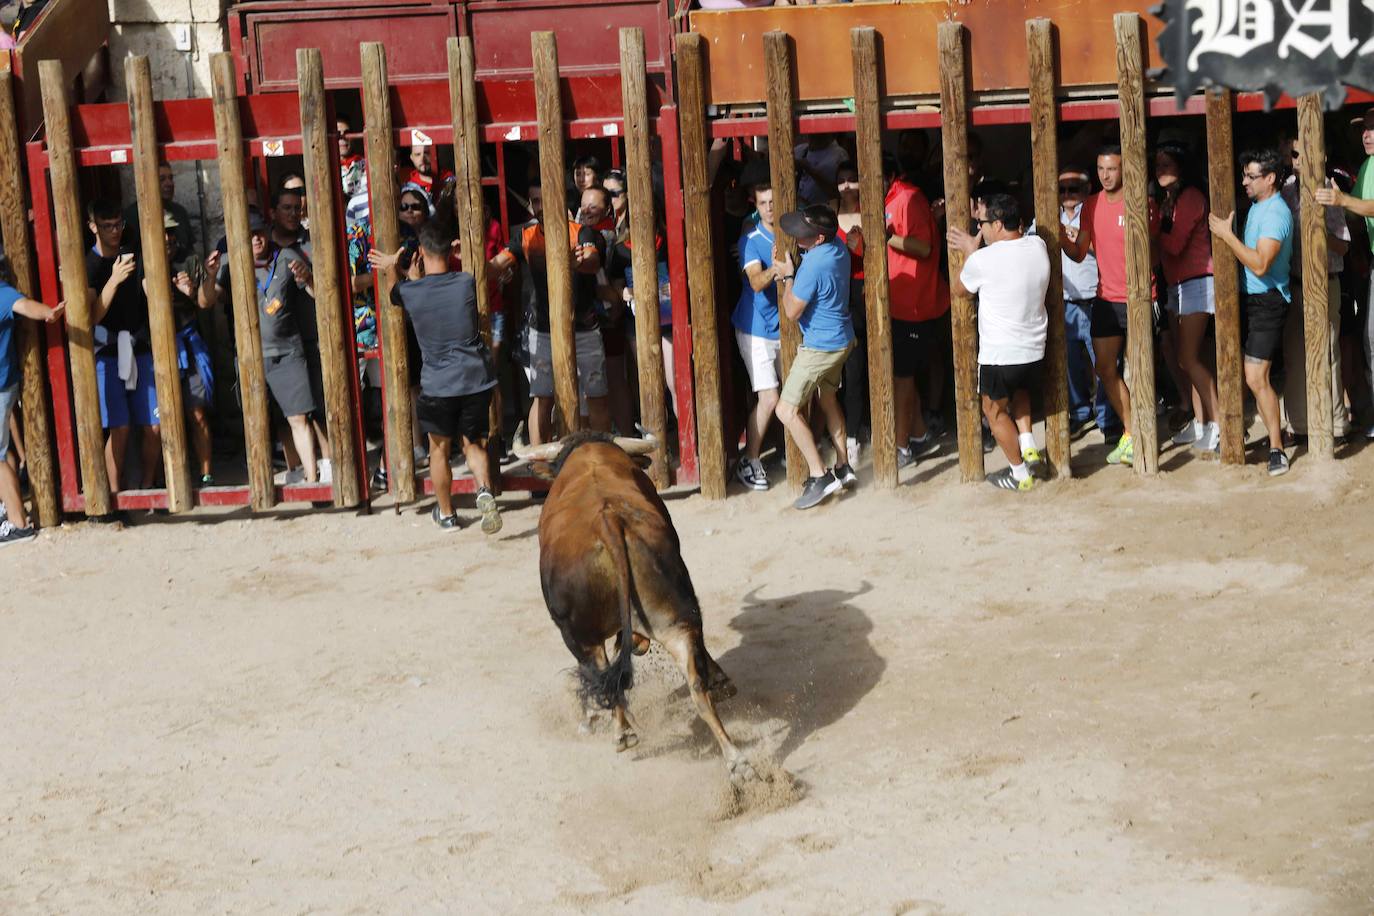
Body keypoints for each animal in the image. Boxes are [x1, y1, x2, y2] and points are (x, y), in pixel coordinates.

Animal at [522, 433, 763, 785]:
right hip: (674, 618)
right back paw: (739, 764)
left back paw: (621, 733)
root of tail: (608, 522)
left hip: (579, 636)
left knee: (603, 677)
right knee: (695, 684)